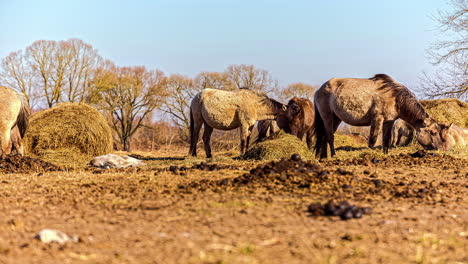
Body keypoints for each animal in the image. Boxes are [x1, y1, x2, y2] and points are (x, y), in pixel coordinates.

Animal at [312, 73, 444, 158]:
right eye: (433, 133)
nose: (440, 148)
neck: (395, 97)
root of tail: (319, 90)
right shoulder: (377, 119)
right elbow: (373, 139)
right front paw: (368, 155)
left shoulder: (388, 121)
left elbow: (386, 139)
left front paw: (385, 155)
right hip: (327, 117)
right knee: (330, 136)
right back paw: (333, 155)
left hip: (336, 119)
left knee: (324, 136)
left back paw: (323, 157)